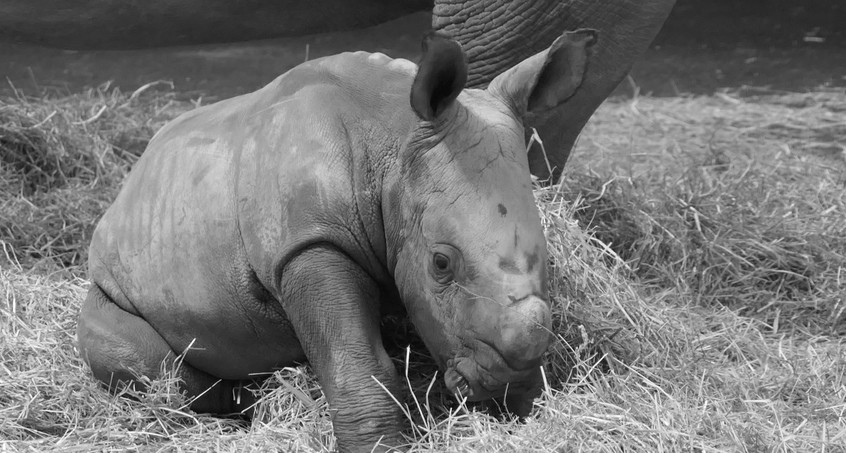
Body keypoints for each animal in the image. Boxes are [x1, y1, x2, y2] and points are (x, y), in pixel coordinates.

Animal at [78, 30, 596, 450]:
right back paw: (246, 403)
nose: (511, 382)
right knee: (143, 360)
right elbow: (356, 363)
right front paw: (382, 446)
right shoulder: (310, 244)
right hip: (111, 280)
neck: (393, 139)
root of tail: (127, 189)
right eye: (441, 264)